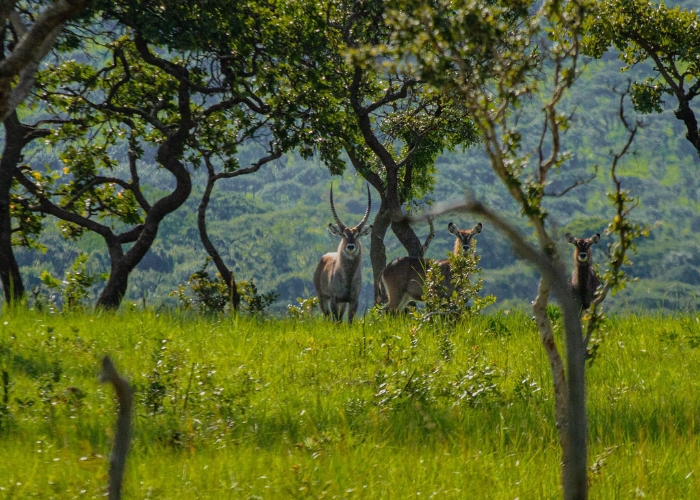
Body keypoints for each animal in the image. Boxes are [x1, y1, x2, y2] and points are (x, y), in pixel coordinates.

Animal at [314, 186, 372, 322]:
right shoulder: (334, 299)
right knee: (327, 316)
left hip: (343, 303)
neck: (348, 277)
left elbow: (349, 321)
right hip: (322, 297)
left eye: (357, 235)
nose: (350, 246)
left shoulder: (353, 300)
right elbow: (335, 320)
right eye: (344, 235)